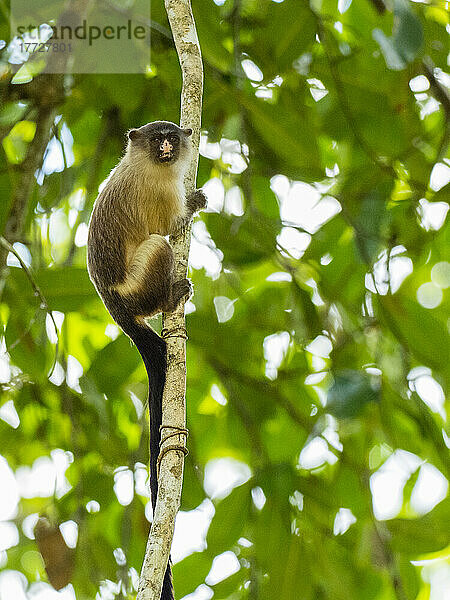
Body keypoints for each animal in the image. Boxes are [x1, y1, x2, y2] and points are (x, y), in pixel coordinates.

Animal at [86, 119, 207, 596]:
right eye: (158, 139)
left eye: (171, 136)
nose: (169, 147)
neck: (149, 165)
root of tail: (116, 308)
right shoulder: (160, 194)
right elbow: (171, 223)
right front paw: (196, 204)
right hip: (138, 284)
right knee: (159, 245)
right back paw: (170, 297)